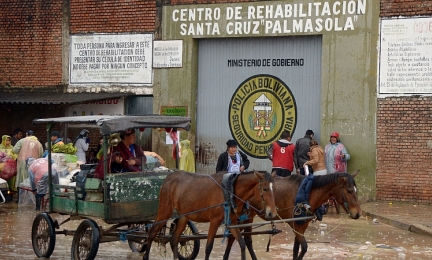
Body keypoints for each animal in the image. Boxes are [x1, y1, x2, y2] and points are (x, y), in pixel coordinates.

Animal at [142, 171, 276, 260]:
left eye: (273, 188)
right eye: (264, 189)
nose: (272, 213)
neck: (230, 189)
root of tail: (169, 177)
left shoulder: (232, 223)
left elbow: (242, 243)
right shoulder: (214, 222)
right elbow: (208, 247)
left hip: (184, 216)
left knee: (174, 239)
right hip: (164, 211)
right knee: (152, 233)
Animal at [223, 171, 362, 260]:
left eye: (356, 191)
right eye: (349, 191)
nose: (358, 213)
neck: (308, 192)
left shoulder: (302, 225)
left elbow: (296, 249)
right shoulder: (295, 225)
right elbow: (304, 247)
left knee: (243, 239)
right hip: (244, 217)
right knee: (237, 238)